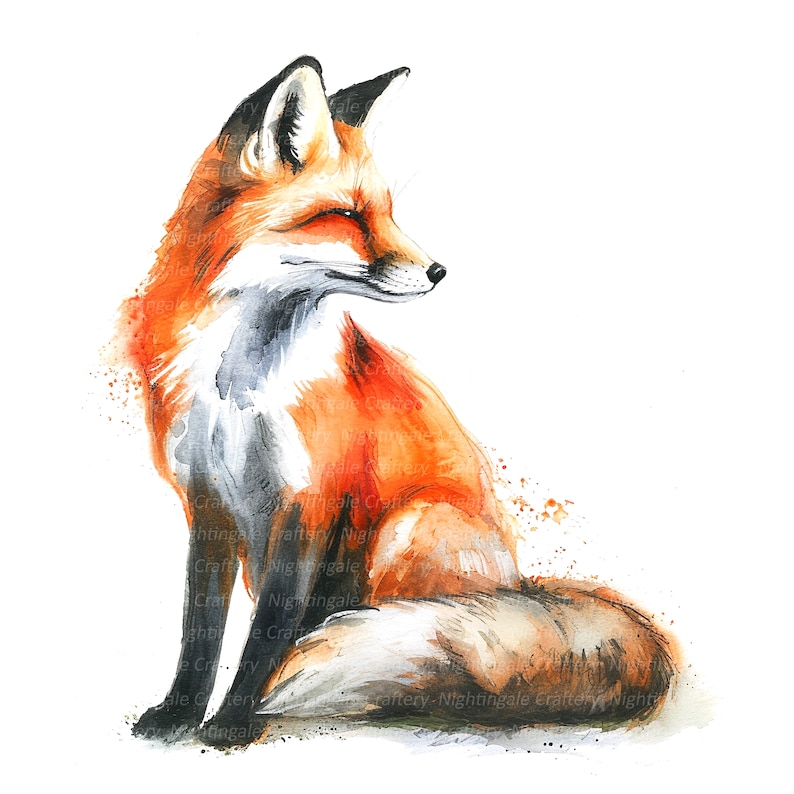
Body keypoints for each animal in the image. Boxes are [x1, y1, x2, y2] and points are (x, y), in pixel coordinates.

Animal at [119, 56, 675, 748]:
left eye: (386, 211)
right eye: (346, 215)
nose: (438, 271)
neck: (240, 392)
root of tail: (522, 585)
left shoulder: (310, 500)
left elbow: (267, 633)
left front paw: (234, 720)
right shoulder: (208, 501)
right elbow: (199, 631)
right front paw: (179, 714)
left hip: (409, 527)